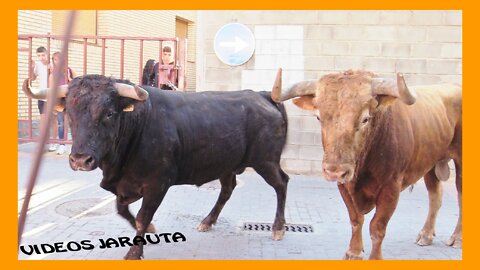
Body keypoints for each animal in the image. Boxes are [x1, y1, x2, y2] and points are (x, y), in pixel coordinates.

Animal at [22, 75, 290, 260]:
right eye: (70, 113)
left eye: (109, 113)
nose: (80, 160)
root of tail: (262, 95)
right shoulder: (124, 185)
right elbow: (122, 210)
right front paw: (148, 231)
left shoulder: (158, 183)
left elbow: (142, 216)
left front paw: (134, 252)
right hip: (227, 164)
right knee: (227, 189)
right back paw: (207, 221)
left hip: (266, 161)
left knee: (281, 183)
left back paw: (278, 227)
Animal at [270, 69, 462, 260]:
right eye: (319, 117)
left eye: (365, 119)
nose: (334, 171)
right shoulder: (344, 185)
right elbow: (356, 219)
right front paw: (353, 252)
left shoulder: (391, 188)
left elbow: (377, 227)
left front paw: (374, 258)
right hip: (431, 163)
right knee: (435, 196)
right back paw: (426, 235)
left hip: (460, 162)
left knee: (460, 198)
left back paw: (457, 238)